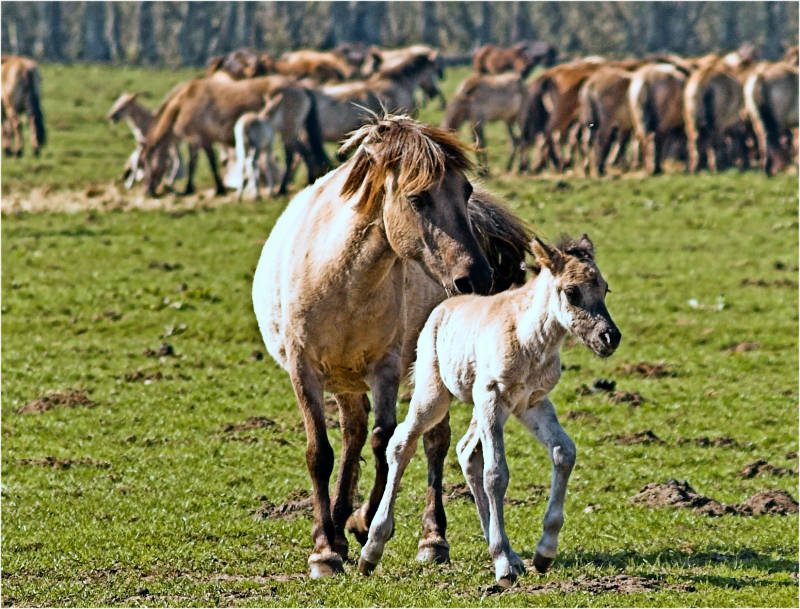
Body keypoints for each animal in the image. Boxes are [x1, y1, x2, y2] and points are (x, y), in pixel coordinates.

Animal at [144, 71, 328, 196]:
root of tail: (301, 87)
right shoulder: (195, 140)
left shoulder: (201, 138)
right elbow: (195, 163)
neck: (183, 104)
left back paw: (285, 188)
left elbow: (208, 163)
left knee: (294, 156)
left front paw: (217, 188)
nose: (147, 191)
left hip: (288, 131)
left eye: (144, 162)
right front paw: (191, 188)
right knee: (303, 153)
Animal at [253, 115, 536, 580]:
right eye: (418, 198)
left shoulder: (384, 368)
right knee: (351, 433)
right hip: (344, 380)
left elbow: (384, 441)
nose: (479, 278)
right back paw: (338, 523)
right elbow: (321, 452)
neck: (341, 280)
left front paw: (363, 524)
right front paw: (325, 549)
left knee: (433, 441)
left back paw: (430, 540)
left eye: (465, 191)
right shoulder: (303, 369)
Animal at [360, 234, 620, 584]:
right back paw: (371, 550)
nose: (610, 338)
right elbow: (496, 473)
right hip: (435, 395)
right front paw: (504, 564)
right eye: (571, 291)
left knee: (466, 450)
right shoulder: (492, 396)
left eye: (605, 288)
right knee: (403, 443)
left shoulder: (531, 402)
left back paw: (504, 547)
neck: (530, 339)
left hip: (489, 408)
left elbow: (564, 452)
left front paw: (542, 552)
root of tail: (442, 308)